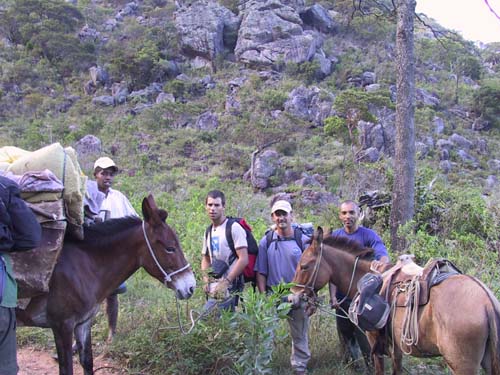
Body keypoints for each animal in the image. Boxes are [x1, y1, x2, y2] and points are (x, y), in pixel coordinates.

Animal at [16, 195, 195, 375]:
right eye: (170, 248)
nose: (191, 287)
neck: (83, 266)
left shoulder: (83, 323)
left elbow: (87, 362)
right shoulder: (62, 326)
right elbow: (66, 369)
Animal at [292, 228, 500, 374]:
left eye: (304, 266)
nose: (293, 296)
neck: (364, 278)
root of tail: (487, 302)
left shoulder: (375, 344)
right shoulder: (397, 348)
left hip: (462, 365)